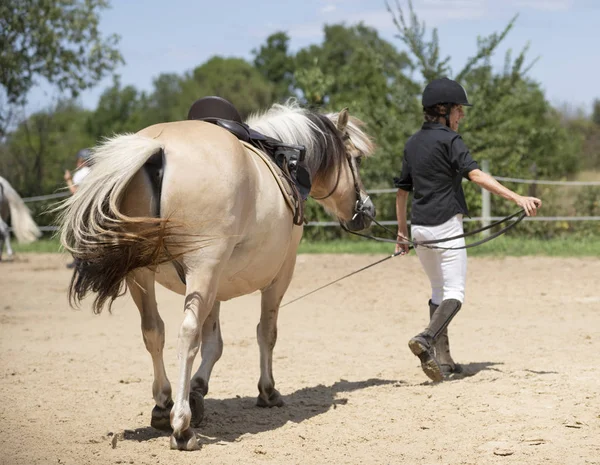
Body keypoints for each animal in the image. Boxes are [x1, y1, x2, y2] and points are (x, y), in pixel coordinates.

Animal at [56, 100, 376, 450]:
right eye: (356, 158)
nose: (367, 210)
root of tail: (158, 148)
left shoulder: (215, 287)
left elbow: (214, 343)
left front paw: (197, 390)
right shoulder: (279, 277)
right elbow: (266, 333)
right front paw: (267, 391)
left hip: (143, 275)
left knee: (154, 331)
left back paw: (164, 404)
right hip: (202, 269)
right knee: (186, 334)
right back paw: (181, 426)